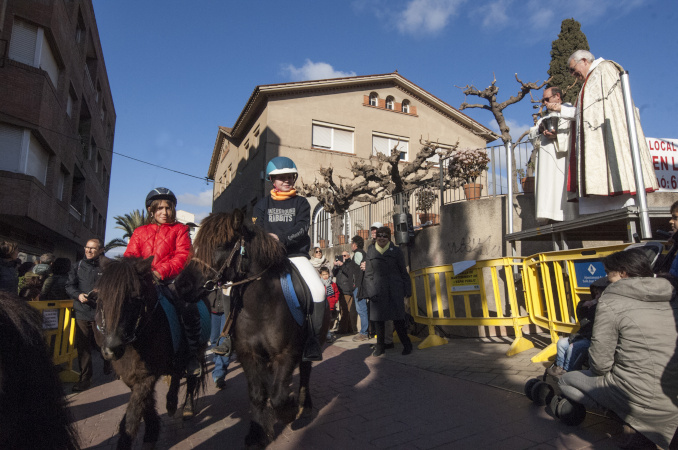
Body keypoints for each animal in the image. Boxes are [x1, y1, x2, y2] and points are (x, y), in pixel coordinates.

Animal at [93, 256, 207, 450]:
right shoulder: (132, 377)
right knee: (176, 374)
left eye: (134, 299)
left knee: (191, 379)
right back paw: (171, 403)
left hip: (198, 351)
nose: (110, 350)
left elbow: (131, 418)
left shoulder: (146, 376)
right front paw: (152, 430)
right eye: (101, 299)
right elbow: (145, 403)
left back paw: (186, 409)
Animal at [187, 211, 330, 450]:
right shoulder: (249, 354)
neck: (260, 305)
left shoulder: (286, 353)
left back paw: (305, 405)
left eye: (222, 244)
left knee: (305, 373)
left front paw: (290, 410)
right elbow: (257, 394)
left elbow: (279, 396)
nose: (182, 284)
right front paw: (257, 433)